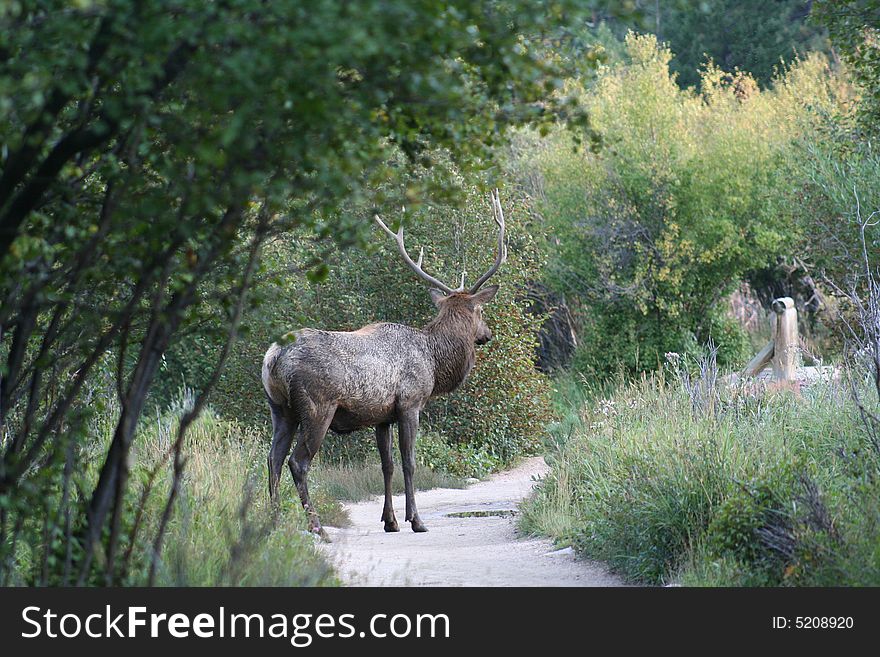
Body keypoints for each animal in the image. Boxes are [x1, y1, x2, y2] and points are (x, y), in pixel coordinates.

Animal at [262, 191, 508, 540]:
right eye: (480, 312)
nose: (487, 334)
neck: (433, 360)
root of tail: (273, 357)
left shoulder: (382, 417)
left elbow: (386, 465)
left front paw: (390, 521)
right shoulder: (410, 403)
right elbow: (409, 462)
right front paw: (416, 520)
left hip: (280, 409)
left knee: (273, 458)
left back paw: (272, 522)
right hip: (317, 405)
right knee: (298, 462)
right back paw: (316, 526)